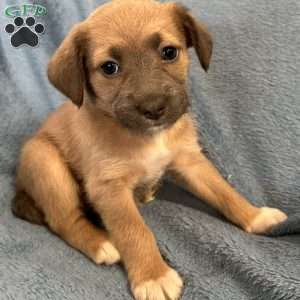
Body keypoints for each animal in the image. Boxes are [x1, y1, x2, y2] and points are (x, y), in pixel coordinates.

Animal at [12, 1, 288, 298]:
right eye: (109, 67)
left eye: (169, 52)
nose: (154, 108)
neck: (147, 136)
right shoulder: (109, 188)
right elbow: (135, 232)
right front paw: (153, 276)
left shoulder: (189, 160)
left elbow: (224, 192)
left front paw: (255, 216)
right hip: (45, 161)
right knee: (64, 221)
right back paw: (100, 243)